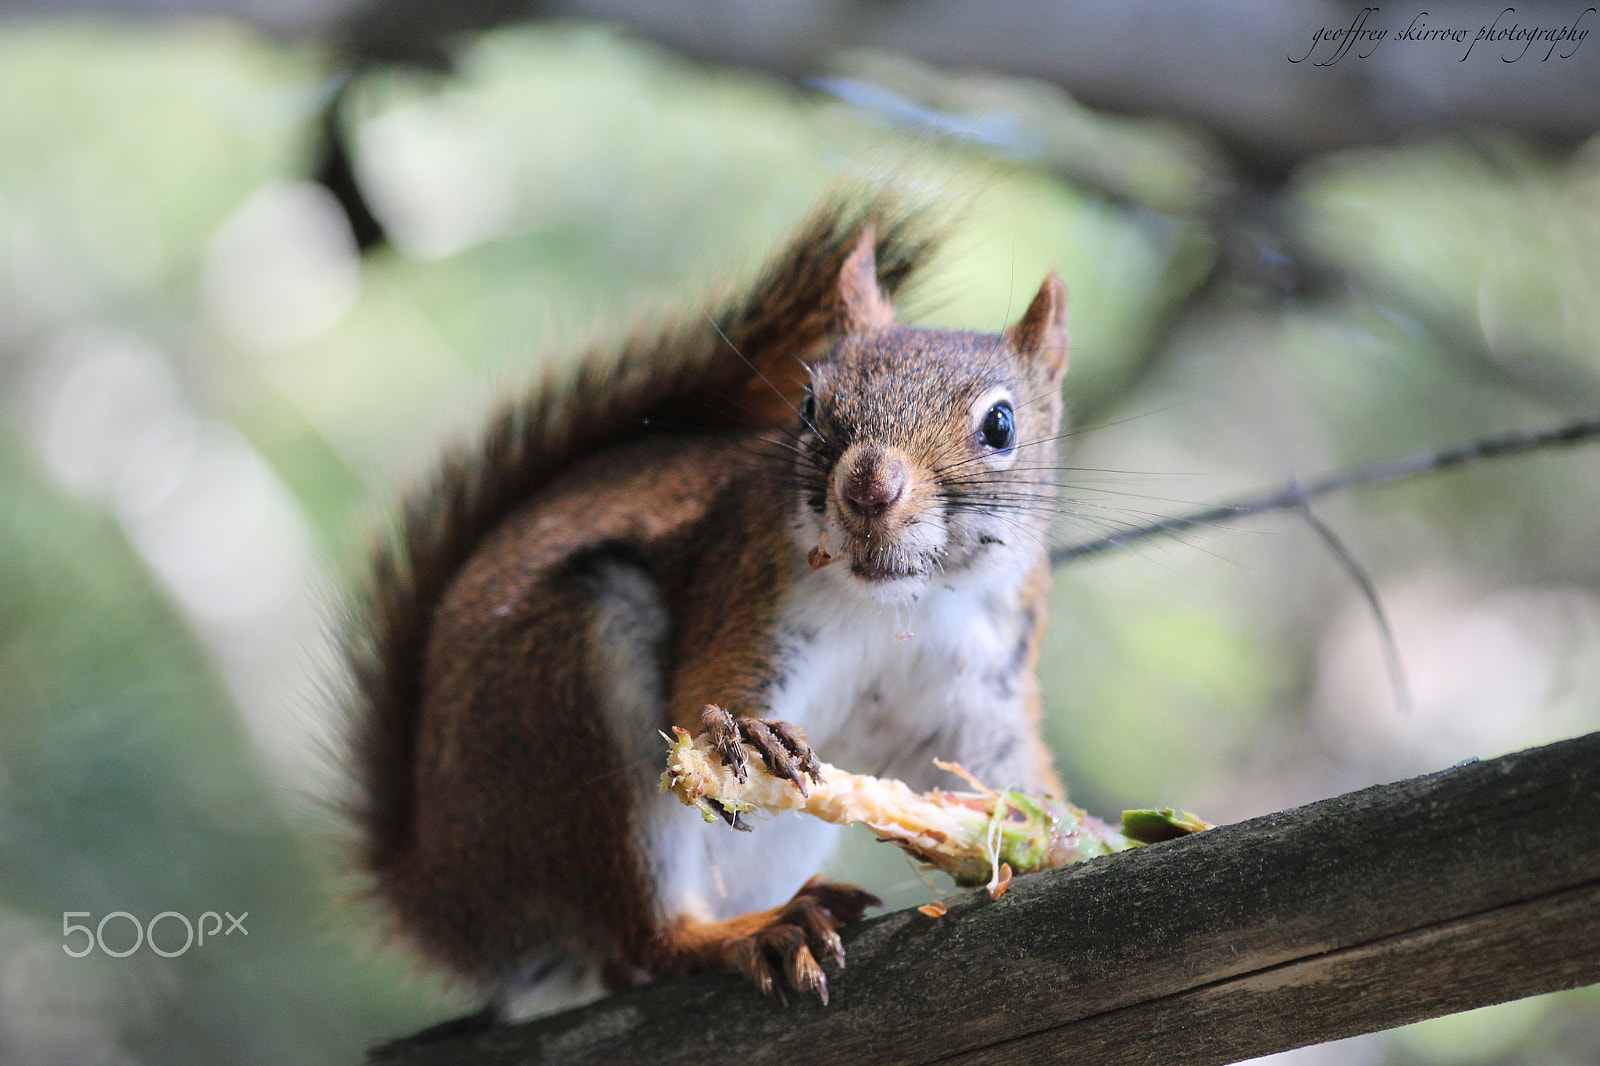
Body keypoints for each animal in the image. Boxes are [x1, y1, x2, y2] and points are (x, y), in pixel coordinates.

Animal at [342, 193, 1071, 1025]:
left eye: (1001, 426)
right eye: (810, 404)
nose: (869, 487)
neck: (898, 607)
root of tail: (442, 891)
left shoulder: (983, 688)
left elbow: (1003, 773)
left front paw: (1067, 835)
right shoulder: (745, 585)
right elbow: (703, 695)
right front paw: (752, 731)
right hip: (566, 708)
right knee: (648, 943)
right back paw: (748, 933)